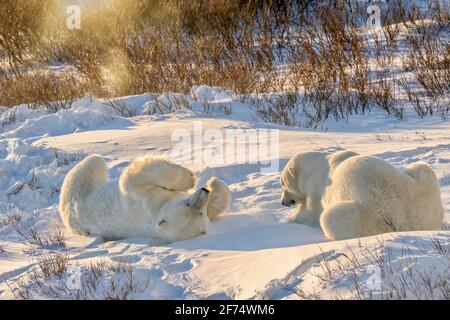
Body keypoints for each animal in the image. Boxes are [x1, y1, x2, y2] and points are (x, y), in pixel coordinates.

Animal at [59, 154, 232, 241]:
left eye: (200, 213)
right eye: (187, 205)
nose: (204, 191)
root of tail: (67, 220)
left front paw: (213, 183)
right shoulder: (142, 201)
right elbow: (130, 180)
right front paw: (190, 178)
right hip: (78, 188)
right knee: (93, 161)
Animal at [282, 151, 442, 239]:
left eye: (283, 184)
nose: (283, 202)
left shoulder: (316, 189)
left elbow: (311, 215)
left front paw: (290, 220)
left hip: (367, 217)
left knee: (329, 219)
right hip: (423, 189)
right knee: (422, 168)